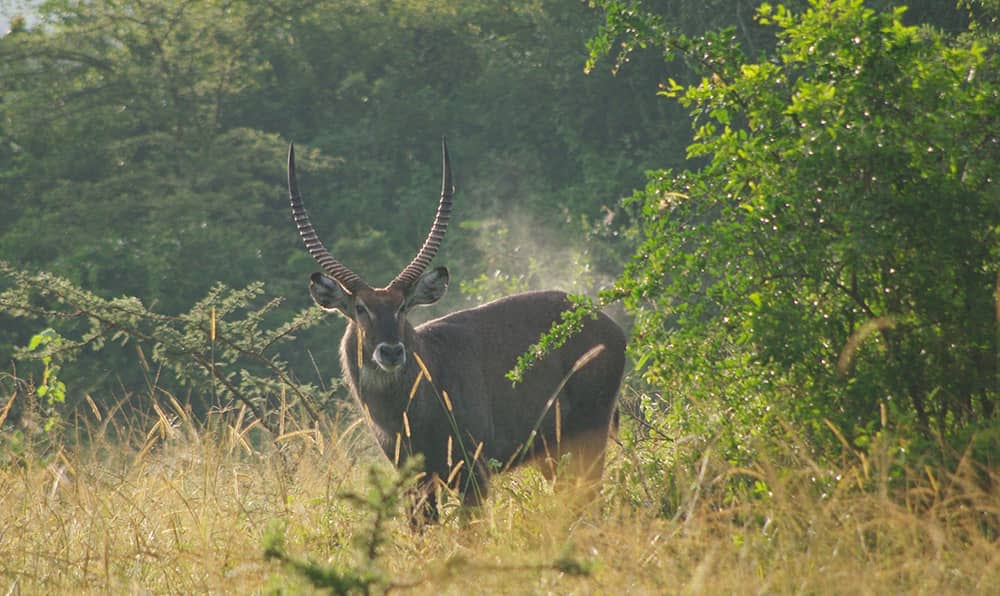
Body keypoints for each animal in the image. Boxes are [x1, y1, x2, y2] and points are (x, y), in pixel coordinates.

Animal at [286, 140, 620, 520]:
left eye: (403, 306)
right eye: (360, 308)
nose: (391, 351)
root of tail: (611, 326)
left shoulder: (473, 471)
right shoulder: (414, 478)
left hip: (589, 436)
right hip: (553, 452)